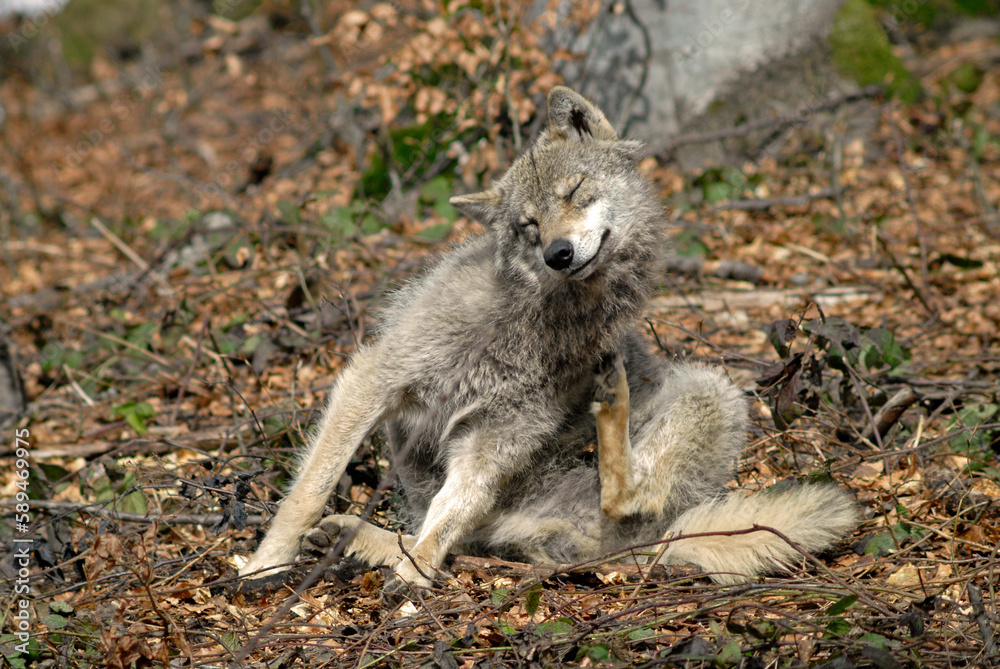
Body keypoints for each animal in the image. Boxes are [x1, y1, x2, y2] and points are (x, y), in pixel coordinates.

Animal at [239, 87, 858, 593]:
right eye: (527, 226)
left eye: (575, 191)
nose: (557, 254)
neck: (533, 315)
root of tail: (639, 549)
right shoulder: (377, 381)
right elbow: (310, 491)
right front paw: (265, 565)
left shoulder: (498, 434)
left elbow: (446, 518)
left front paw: (408, 581)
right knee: (456, 536)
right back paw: (354, 540)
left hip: (713, 391)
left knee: (619, 497)